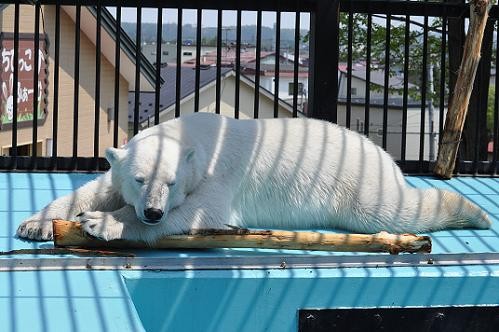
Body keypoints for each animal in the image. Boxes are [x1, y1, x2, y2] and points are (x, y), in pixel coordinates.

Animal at [16, 113, 492, 243]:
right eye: (139, 179)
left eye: (170, 183)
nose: (151, 213)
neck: (193, 136)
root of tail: (382, 154)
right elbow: (96, 187)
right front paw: (35, 223)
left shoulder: (220, 174)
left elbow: (203, 212)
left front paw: (106, 223)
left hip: (356, 186)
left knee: (396, 212)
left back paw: (475, 212)